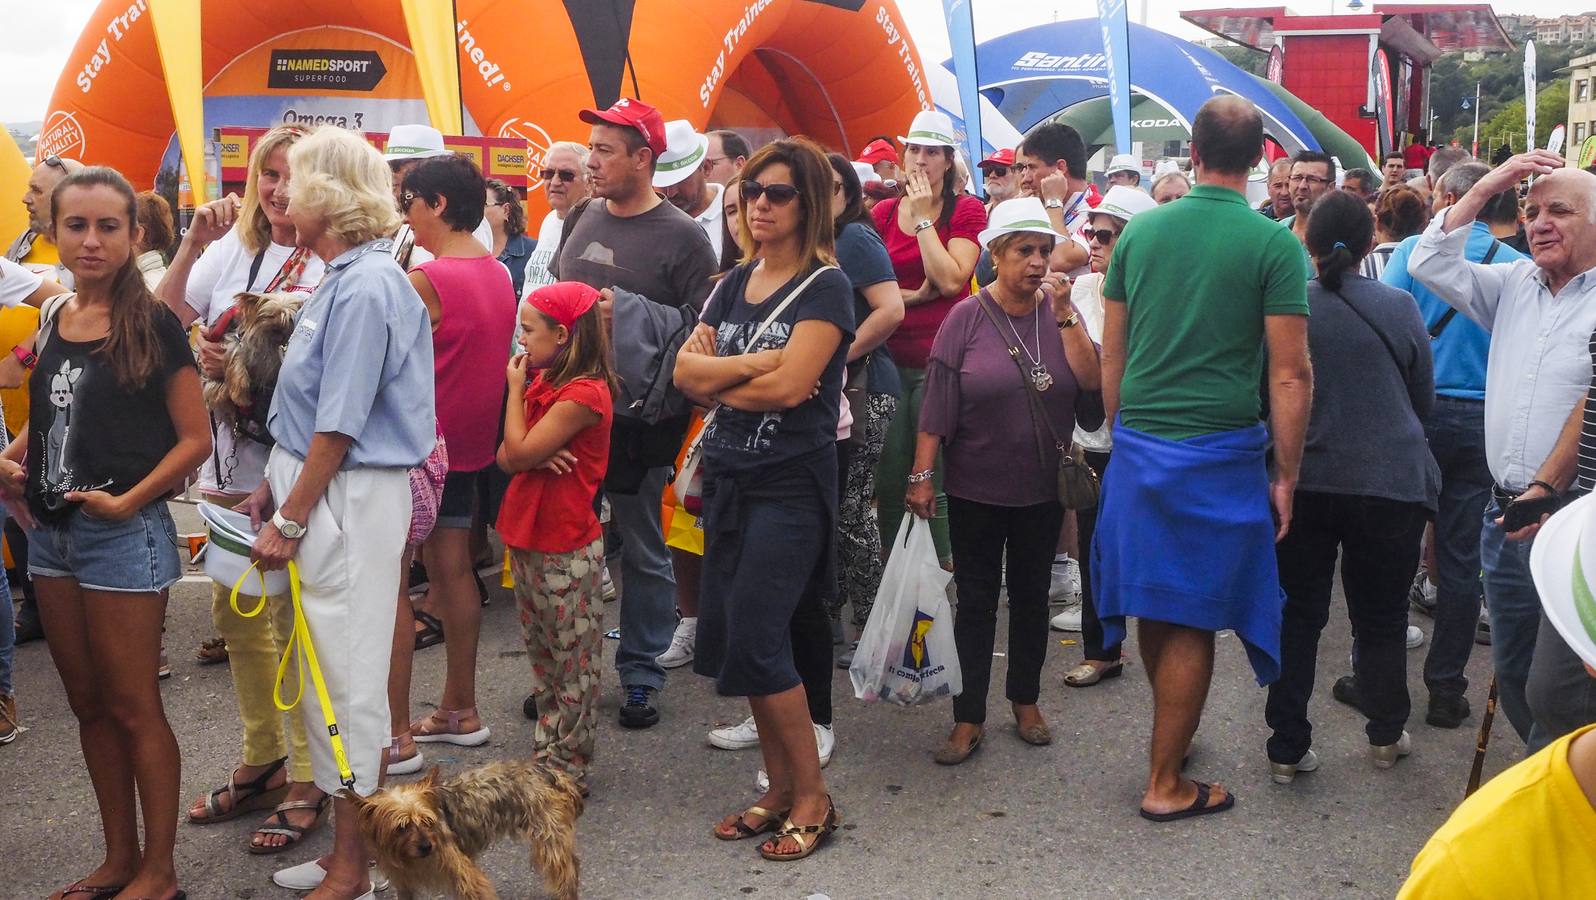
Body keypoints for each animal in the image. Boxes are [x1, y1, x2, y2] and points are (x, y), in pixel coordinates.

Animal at [346, 759, 584, 900]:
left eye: (428, 822)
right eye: (401, 828)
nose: (426, 846)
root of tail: (548, 771)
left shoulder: (462, 872)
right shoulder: (404, 882)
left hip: (549, 838)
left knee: (566, 872)